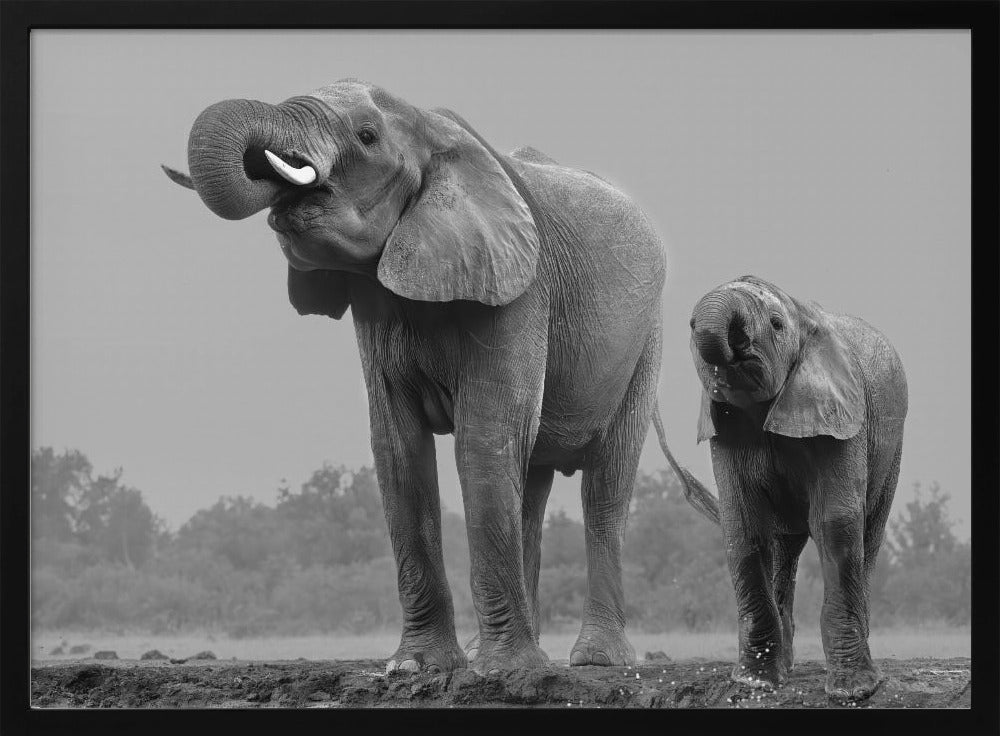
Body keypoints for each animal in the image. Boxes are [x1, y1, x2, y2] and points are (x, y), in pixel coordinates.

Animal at [162, 79, 719, 675]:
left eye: (367, 136)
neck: (432, 129)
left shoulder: (519, 289)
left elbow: (484, 437)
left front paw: (503, 673)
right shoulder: (378, 306)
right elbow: (398, 449)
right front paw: (421, 667)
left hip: (645, 345)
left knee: (605, 487)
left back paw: (595, 660)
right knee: (531, 485)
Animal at [687, 275, 907, 700]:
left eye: (775, 324)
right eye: (689, 327)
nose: (736, 342)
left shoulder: (841, 416)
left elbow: (835, 523)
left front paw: (853, 692)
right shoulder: (726, 428)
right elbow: (744, 527)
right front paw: (754, 683)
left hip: (891, 448)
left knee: (868, 533)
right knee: (782, 545)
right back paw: (784, 666)